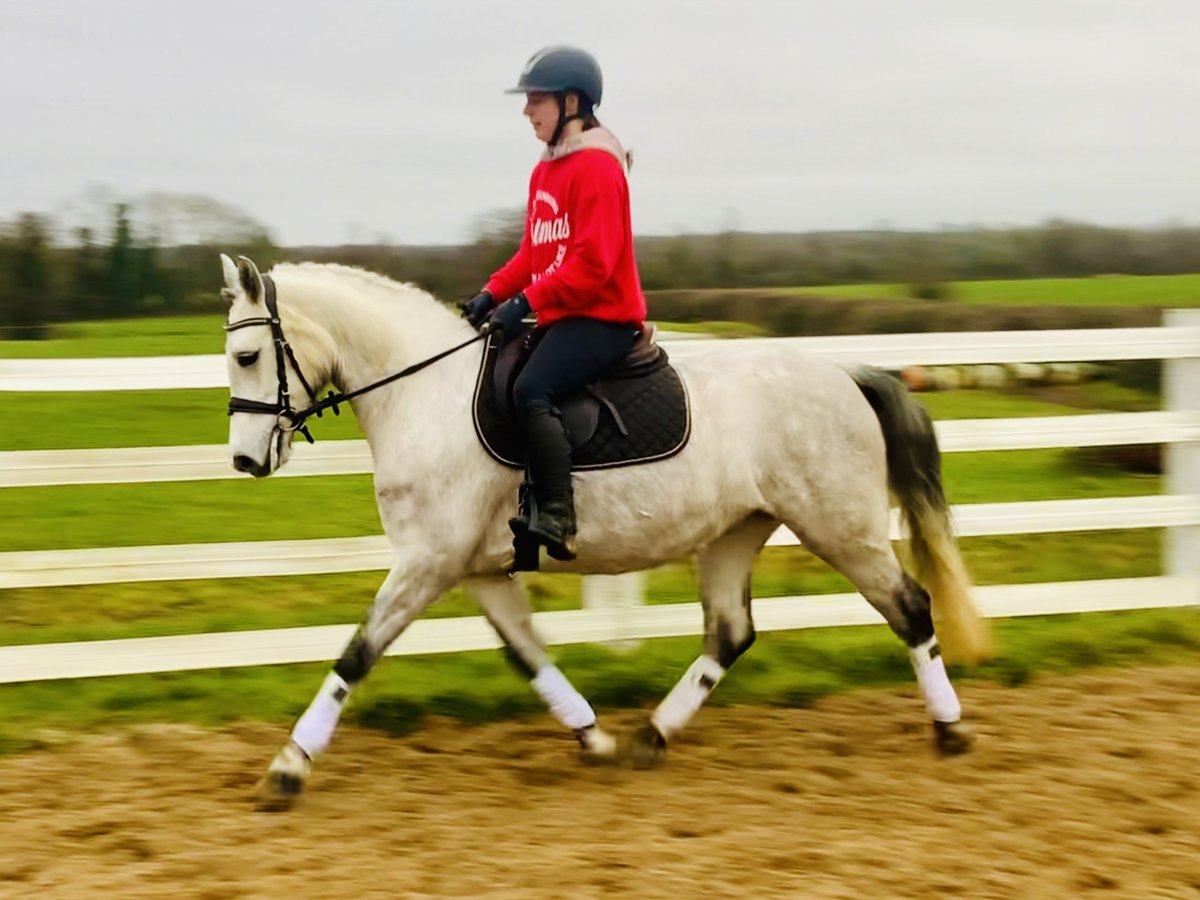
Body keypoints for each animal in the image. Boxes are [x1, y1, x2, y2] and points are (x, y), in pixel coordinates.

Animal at [220, 254, 988, 811]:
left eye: (248, 356)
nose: (245, 461)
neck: (423, 395)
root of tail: (847, 373)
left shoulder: (427, 564)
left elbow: (356, 655)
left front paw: (287, 769)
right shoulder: (478, 570)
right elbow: (528, 656)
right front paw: (595, 741)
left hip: (840, 525)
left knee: (910, 607)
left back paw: (951, 729)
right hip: (736, 532)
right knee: (729, 633)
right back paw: (651, 736)